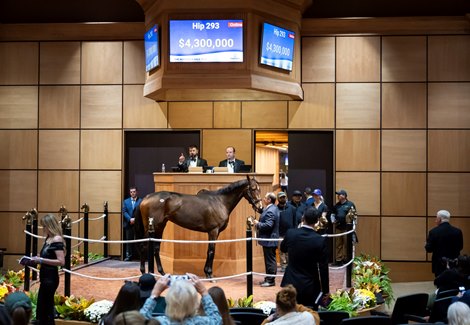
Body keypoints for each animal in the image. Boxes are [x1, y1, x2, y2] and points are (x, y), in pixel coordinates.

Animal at [134, 176, 262, 278]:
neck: (220, 201)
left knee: (156, 248)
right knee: (143, 246)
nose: (260, 207)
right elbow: (211, 251)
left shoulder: (215, 232)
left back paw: (162, 273)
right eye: (253, 189)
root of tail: (146, 198)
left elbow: (209, 251)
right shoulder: (213, 231)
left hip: (160, 226)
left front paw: (206, 271)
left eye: (259, 189)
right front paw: (209, 274)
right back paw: (143, 272)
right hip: (151, 227)